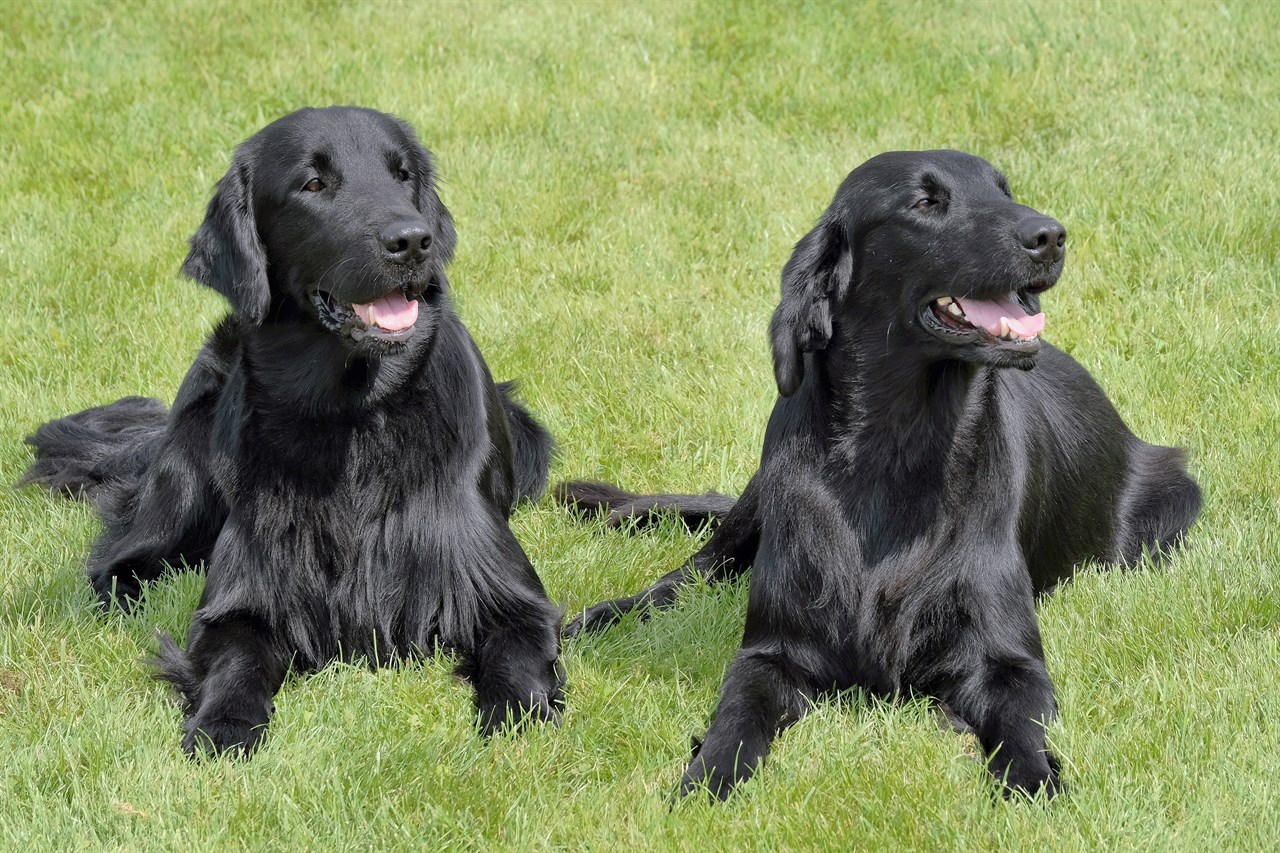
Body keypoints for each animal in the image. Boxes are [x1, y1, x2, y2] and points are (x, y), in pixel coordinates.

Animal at [22, 106, 565, 753]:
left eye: (402, 175)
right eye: (313, 184)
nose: (413, 240)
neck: (352, 417)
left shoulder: (503, 590)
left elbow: (518, 654)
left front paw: (518, 716)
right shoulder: (244, 598)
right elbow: (233, 658)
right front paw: (224, 724)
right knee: (117, 562)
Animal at [560, 151, 1198, 799]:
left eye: (1004, 191)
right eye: (925, 202)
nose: (1052, 236)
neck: (897, 451)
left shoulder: (1009, 661)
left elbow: (1024, 732)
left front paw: (1035, 783)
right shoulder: (770, 651)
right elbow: (735, 717)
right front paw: (707, 778)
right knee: (686, 577)